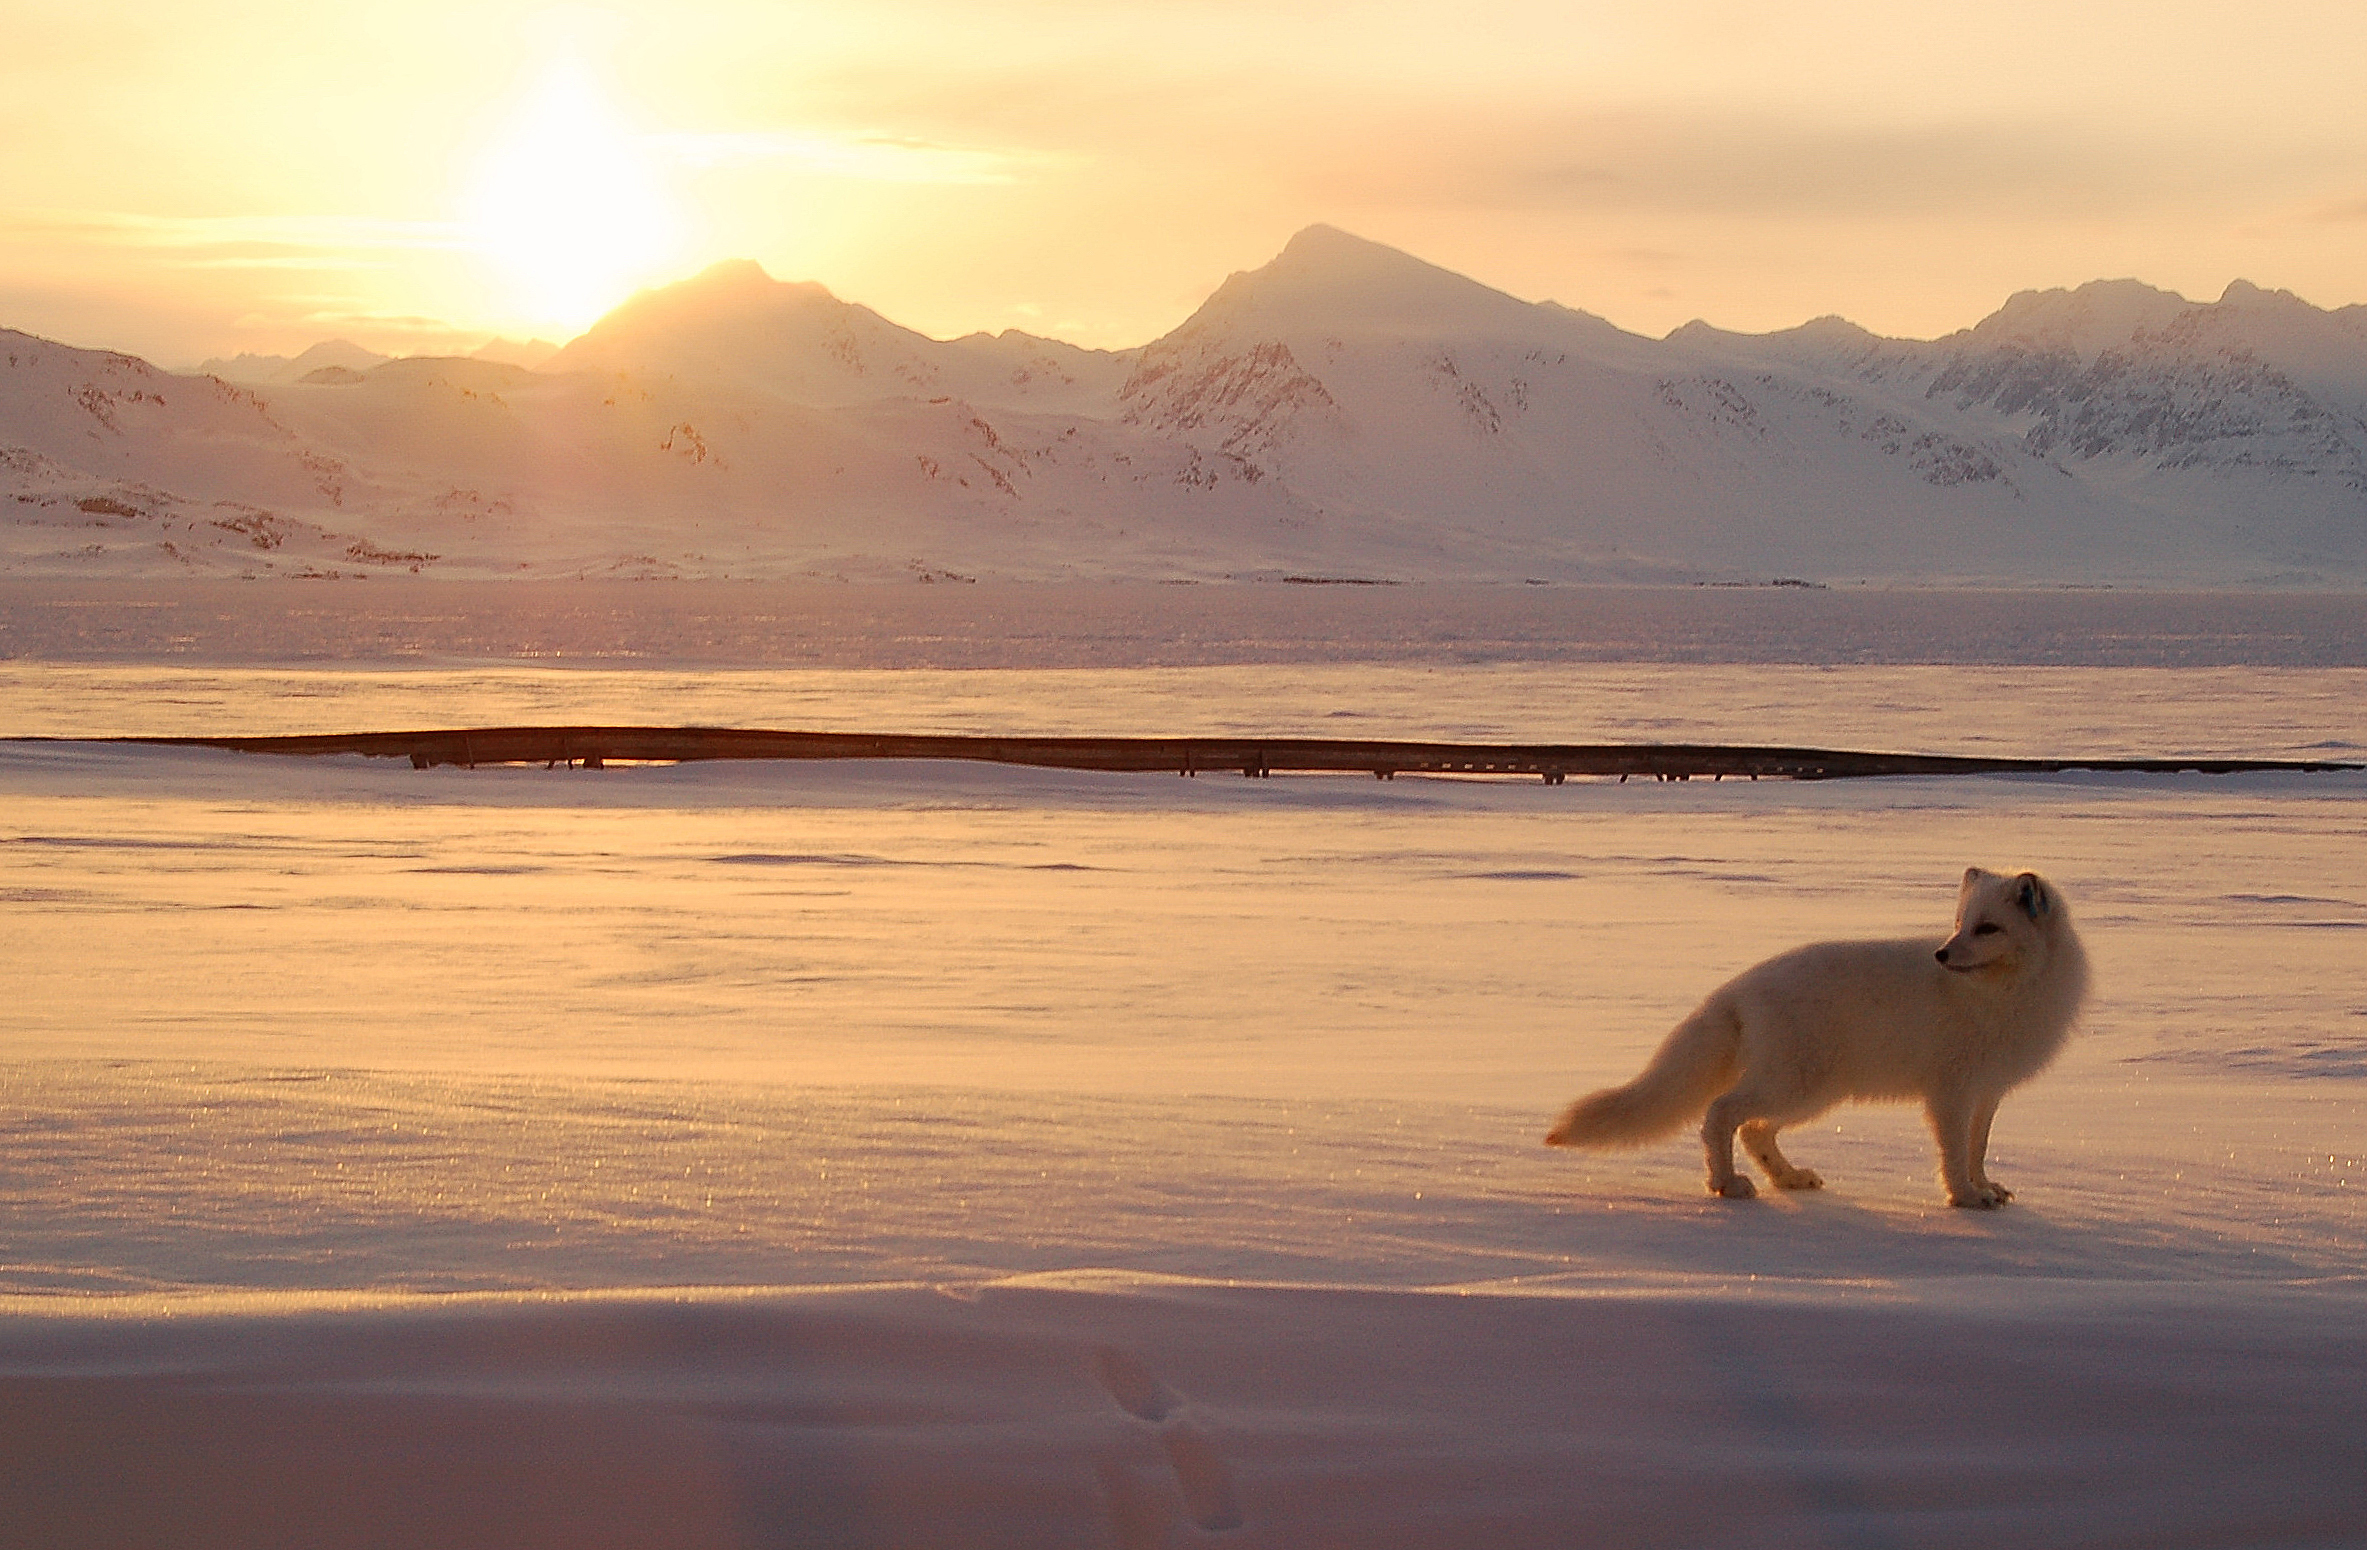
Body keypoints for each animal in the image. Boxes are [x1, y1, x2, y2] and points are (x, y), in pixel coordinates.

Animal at [1552, 866, 2092, 1206]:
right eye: (1960, 924)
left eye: (1987, 928)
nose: (1940, 954)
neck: (2004, 992)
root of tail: (1737, 988)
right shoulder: (1950, 1092)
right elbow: (1956, 1154)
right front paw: (1964, 1197)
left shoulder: (1988, 1090)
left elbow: (1978, 1149)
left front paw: (1987, 1188)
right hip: (1798, 1086)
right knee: (1722, 1114)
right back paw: (1727, 1185)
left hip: (1813, 1093)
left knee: (1753, 1130)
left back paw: (1788, 1177)